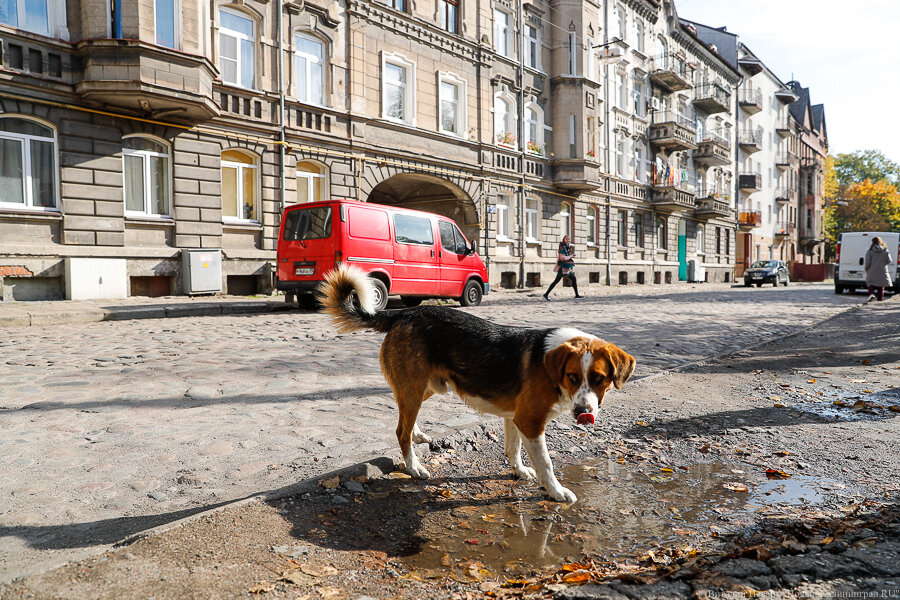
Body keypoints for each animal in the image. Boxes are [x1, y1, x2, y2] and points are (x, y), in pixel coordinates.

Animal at [320, 264, 636, 500]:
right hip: (416, 386)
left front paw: (519, 471)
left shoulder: (515, 417)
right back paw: (414, 466)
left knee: (403, 416)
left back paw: (418, 434)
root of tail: (404, 313)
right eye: (572, 377)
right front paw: (557, 492)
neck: (551, 367)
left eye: (599, 379)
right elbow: (546, 463)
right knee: (400, 430)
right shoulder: (531, 422)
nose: (584, 412)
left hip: (426, 386)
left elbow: (513, 449)